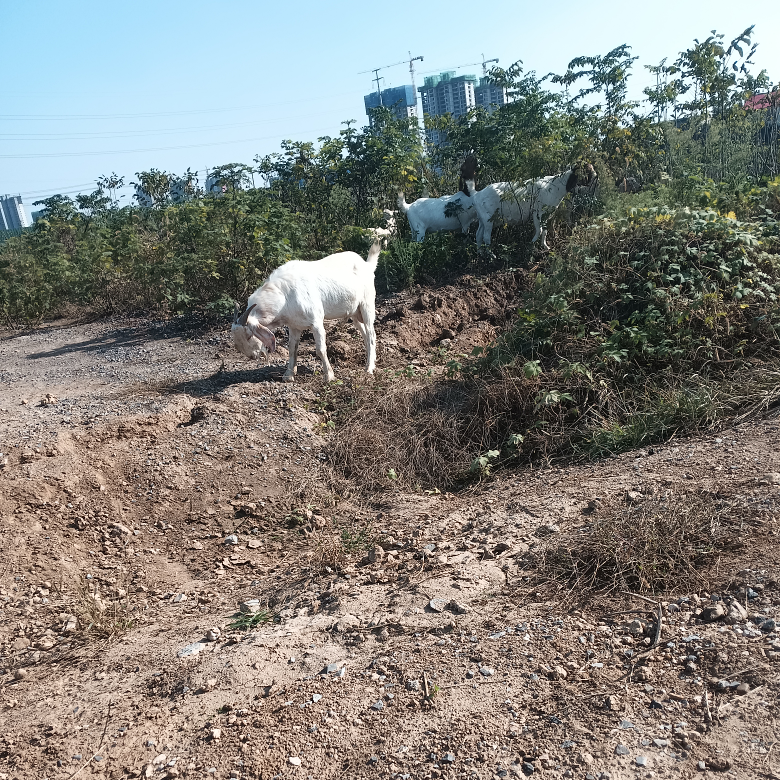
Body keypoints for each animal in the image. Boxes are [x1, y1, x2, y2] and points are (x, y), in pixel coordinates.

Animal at [230, 241, 380, 380]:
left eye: (249, 336)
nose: (251, 356)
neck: (284, 296)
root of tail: (367, 265)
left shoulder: (316, 323)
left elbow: (320, 350)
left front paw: (329, 376)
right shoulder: (294, 325)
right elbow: (292, 348)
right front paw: (289, 375)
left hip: (367, 305)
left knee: (371, 335)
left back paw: (369, 368)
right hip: (355, 312)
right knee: (365, 334)